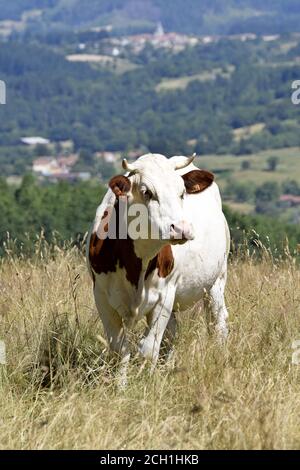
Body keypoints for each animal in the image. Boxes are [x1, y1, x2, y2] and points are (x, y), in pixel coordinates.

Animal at [86, 153, 230, 386]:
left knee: (217, 323)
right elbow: (119, 349)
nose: (181, 229)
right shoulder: (102, 297)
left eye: (182, 192)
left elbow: (148, 349)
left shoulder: (164, 296)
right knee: (172, 333)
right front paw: (120, 386)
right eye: (147, 192)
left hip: (217, 280)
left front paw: (146, 383)